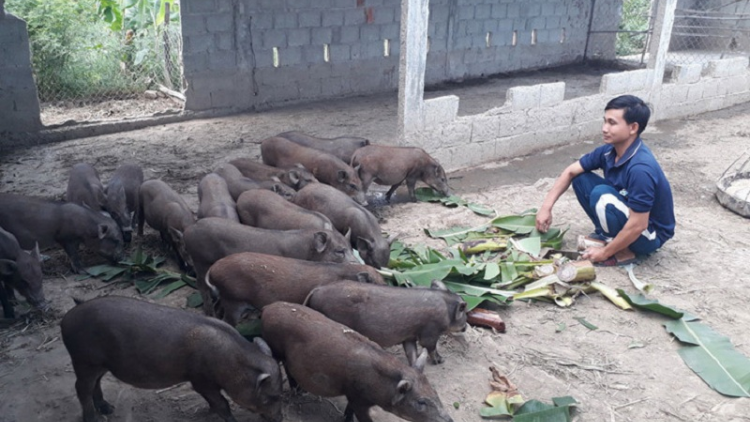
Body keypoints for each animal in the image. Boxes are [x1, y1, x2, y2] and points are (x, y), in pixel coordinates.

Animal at [61, 296, 284, 422]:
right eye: (271, 397)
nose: (281, 419)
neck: (232, 363)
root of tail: (66, 318)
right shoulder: (200, 380)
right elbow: (221, 403)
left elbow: (215, 403)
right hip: (83, 360)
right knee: (81, 388)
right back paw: (95, 419)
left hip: (98, 364)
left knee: (95, 384)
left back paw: (109, 409)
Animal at [184, 219, 356, 314]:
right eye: (339, 251)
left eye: (351, 248)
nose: (356, 262)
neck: (307, 251)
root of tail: (190, 228)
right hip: (201, 261)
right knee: (201, 285)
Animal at [262, 302, 456, 422]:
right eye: (421, 402)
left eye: (435, 392)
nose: (450, 420)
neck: (380, 384)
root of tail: (267, 308)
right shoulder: (358, 398)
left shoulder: (352, 395)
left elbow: (349, 410)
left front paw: (346, 418)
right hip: (275, 348)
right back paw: (298, 392)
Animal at [306, 278, 470, 364]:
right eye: (464, 312)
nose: (466, 327)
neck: (447, 309)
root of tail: (316, 290)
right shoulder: (429, 334)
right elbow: (431, 348)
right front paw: (440, 361)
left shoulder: (409, 337)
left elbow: (412, 354)